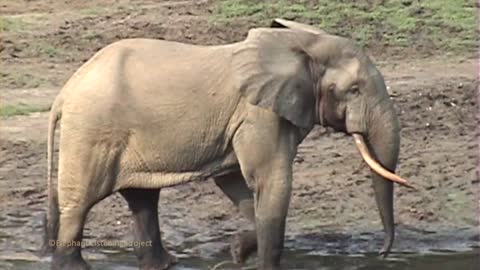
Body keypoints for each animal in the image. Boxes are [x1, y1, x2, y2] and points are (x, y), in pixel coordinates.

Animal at [40, 19, 412, 270]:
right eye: (355, 91)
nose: (382, 253)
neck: (301, 42)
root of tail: (64, 92)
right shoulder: (257, 113)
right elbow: (270, 181)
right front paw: (256, 260)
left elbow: (238, 183)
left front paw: (239, 251)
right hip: (92, 133)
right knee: (81, 202)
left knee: (142, 199)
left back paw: (163, 264)